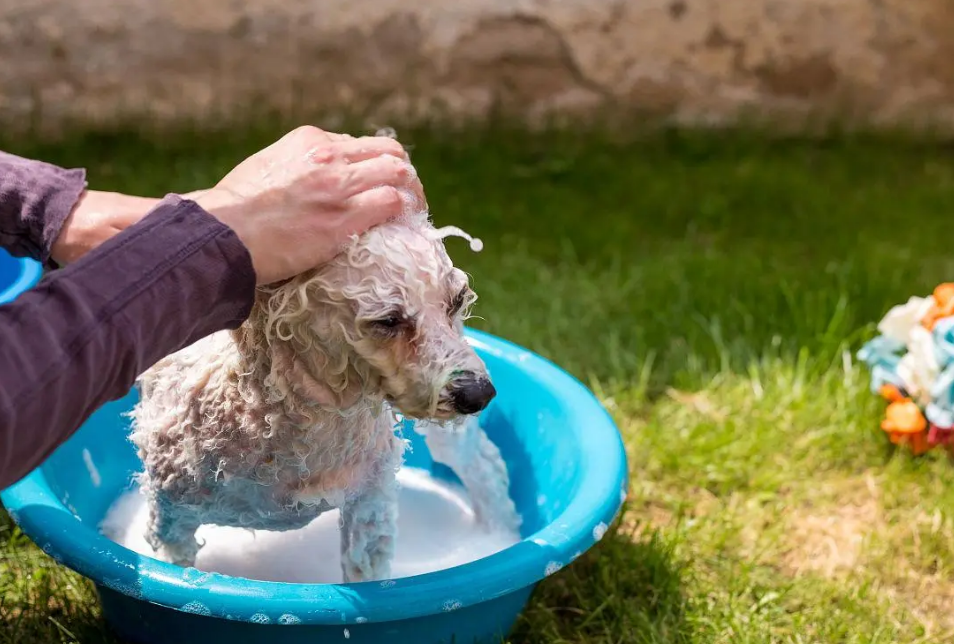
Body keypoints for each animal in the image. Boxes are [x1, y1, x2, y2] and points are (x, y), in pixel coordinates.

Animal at [131, 208, 512, 584]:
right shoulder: (172, 517)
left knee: (484, 464)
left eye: (456, 301)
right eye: (388, 320)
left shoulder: (371, 499)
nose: (478, 394)